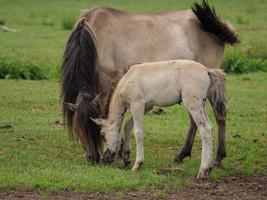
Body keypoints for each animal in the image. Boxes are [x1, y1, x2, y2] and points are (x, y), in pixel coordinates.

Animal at [61, 0, 241, 164]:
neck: (95, 33)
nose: (92, 158)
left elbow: (114, 119)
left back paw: (217, 157)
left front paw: (117, 151)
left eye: (97, 132)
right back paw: (183, 155)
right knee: (198, 121)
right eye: (77, 128)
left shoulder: (108, 84)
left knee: (218, 115)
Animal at [91, 59, 226, 180]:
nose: (103, 160)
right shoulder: (147, 107)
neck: (127, 79)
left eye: (102, 135)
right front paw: (126, 156)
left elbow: (138, 132)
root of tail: (207, 70)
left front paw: (137, 165)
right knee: (210, 127)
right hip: (201, 106)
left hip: (193, 105)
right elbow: (128, 126)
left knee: (205, 130)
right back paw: (208, 170)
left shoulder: (137, 104)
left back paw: (202, 171)